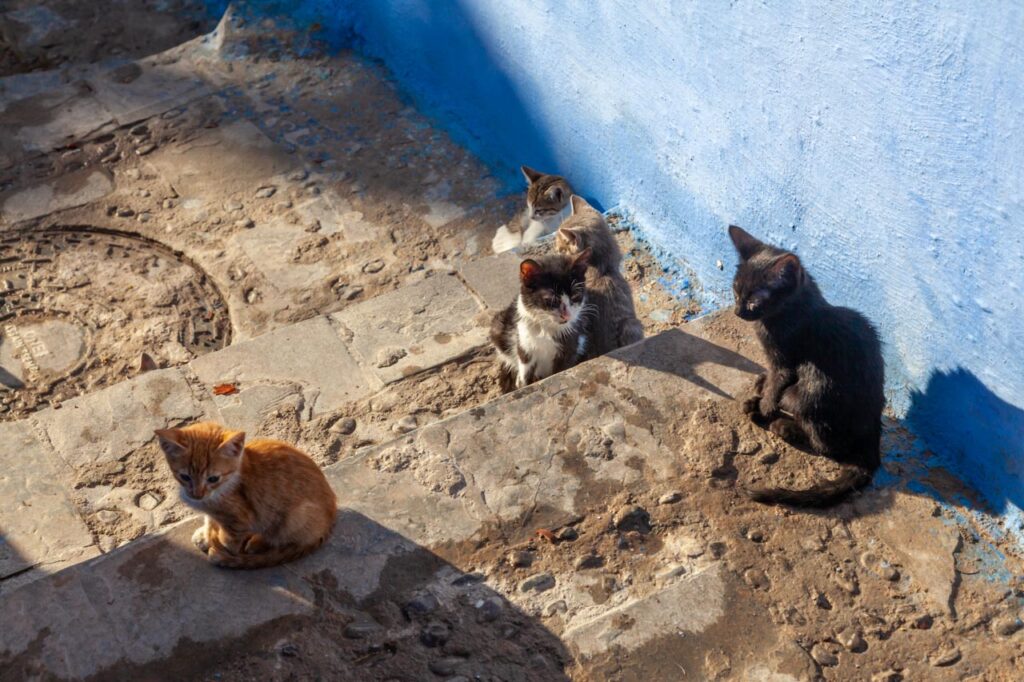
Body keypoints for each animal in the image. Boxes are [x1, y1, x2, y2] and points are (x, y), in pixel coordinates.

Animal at [153, 419, 335, 569]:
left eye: (213, 478)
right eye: (185, 477)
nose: (197, 495)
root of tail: (329, 521)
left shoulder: (238, 520)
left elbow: (229, 540)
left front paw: (223, 551)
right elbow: (209, 520)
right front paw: (205, 536)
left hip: (294, 516)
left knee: (283, 538)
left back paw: (256, 543)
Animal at [489, 248, 593, 393]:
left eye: (575, 296)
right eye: (551, 300)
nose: (567, 316)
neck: (546, 327)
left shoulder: (571, 344)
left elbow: (561, 369)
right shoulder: (524, 340)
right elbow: (525, 368)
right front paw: (522, 384)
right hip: (499, 327)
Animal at [729, 225, 880, 501]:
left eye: (755, 300)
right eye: (735, 291)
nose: (738, 311)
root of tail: (873, 445)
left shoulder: (784, 362)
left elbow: (776, 387)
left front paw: (764, 409)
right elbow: (770, 380)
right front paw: (761, 388)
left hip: (814, 391)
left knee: (826, 446)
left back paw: (783, 426)